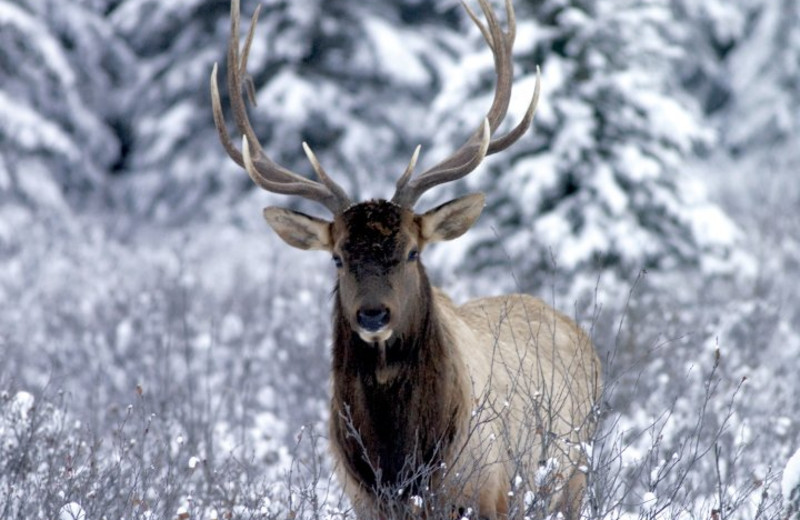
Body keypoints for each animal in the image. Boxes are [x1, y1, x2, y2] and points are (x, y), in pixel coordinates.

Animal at [211, 1, 600, 516]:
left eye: (413, 252)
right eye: (337, 257)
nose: (373, 314)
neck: (400, 466)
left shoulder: (486, 491)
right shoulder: (363, 500)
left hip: (572, 479)